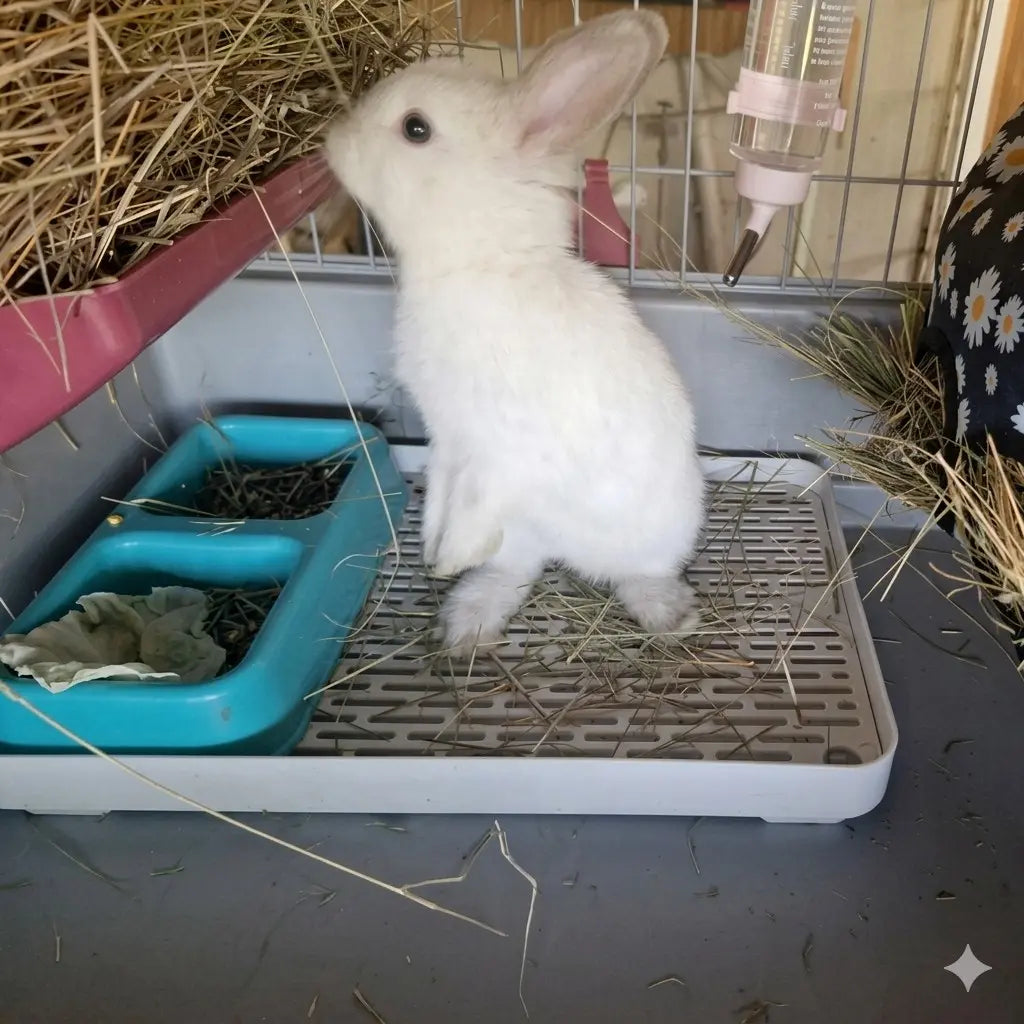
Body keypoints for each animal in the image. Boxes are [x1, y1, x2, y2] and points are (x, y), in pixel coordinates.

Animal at [324, 10, 705, 657]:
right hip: (524, 539)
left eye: (416, 128)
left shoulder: (504, 454)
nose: (330, 139)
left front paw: (446, 559)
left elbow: (478, 501)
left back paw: (670, 614)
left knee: (637, 573)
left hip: (655, 533)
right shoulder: (448, 440)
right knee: (515, 568)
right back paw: (468, 622)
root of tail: (566, 549)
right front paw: (434, 554)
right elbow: (443, 492)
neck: (480, 266)